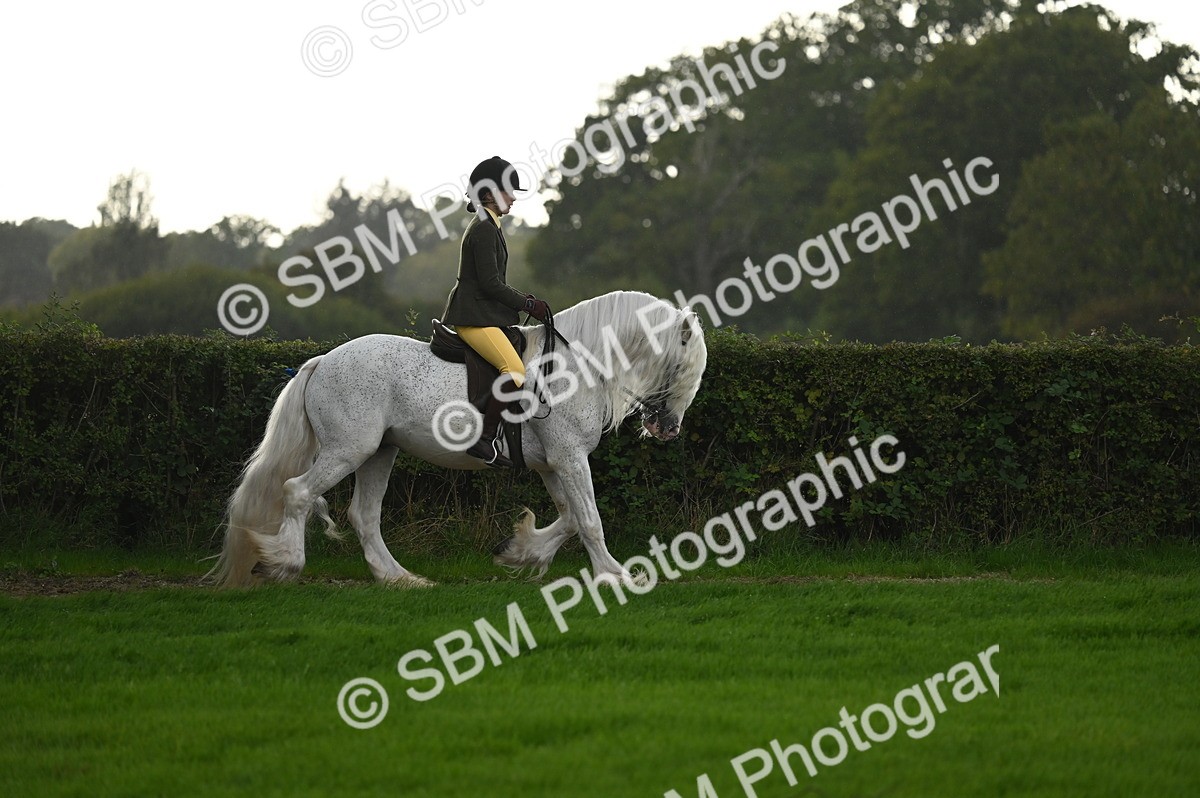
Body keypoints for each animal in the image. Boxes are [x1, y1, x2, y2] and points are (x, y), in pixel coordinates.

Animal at [206, 290, 708, 588]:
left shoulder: (553, 463)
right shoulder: (569, 458)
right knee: (297, 492)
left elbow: (567, 518)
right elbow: (588, 519)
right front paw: (613, 574)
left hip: (379, 453)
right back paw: (286, 563)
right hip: (349, 450)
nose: (669, 429)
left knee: (364, 515)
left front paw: (520, 553)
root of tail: (323, 361)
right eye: (682, 365)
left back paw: (400, 578)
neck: (574, 365)